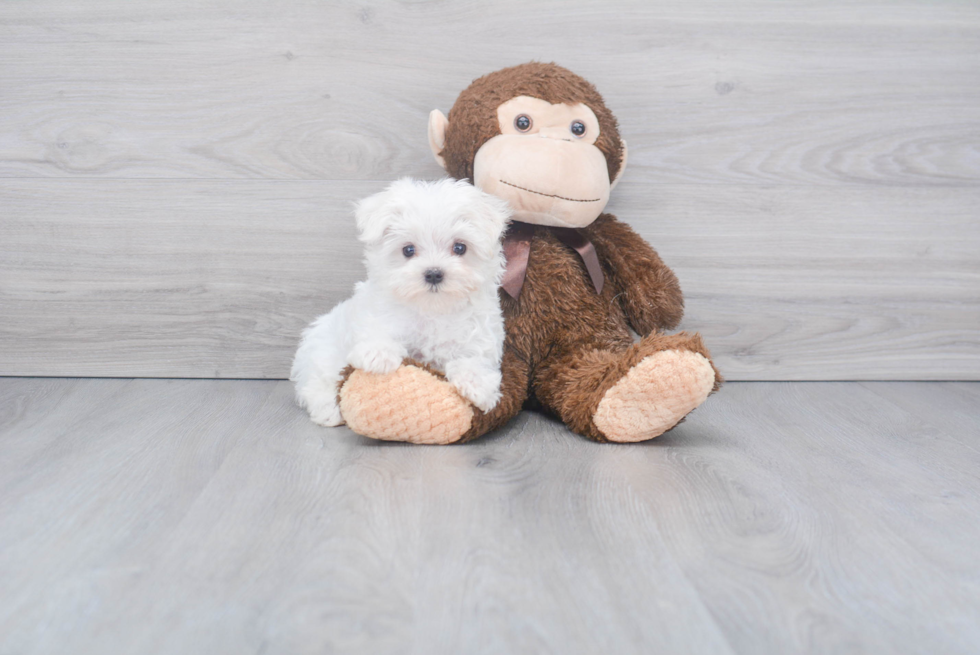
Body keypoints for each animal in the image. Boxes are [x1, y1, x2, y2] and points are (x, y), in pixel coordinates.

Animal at [290, 177, 512, 428]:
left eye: (460, 247)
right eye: (408, 250)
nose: (433, 273)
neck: (432, 309)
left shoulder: (479, 337)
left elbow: (475, 359)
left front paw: (477, 385)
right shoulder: (377, 315)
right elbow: (378, 332)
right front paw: (377, 354)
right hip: (323, 351)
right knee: (317, 382)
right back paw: (328, 410)